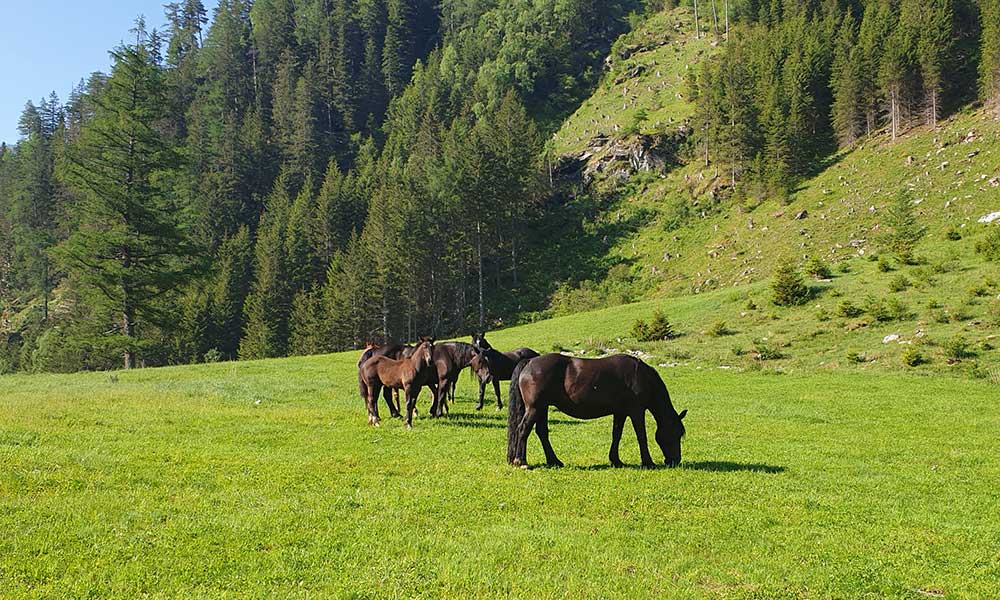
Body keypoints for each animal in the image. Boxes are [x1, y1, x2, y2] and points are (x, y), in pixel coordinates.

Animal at [508, 354, 688, 472]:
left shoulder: (620, 412)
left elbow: (617, 434)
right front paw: (648, 462)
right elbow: (641, 436)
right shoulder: (636, 411)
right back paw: (522, 461)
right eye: (676, 433)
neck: (641, 376)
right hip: (535, 408)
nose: (675, 461)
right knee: (523, 429)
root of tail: (529, 362)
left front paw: (616, 460)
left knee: (542, 433)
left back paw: (554, 461)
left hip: (542, 408)